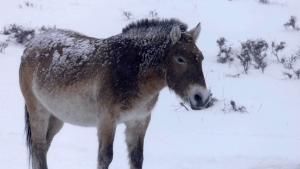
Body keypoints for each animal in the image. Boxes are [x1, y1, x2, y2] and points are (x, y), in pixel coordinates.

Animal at [19, 18, 211, 169]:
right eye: (180, 59)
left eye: (201, 58)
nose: (201, 97)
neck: (133, 72)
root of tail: (31, 46)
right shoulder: (107, 121)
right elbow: (105, 158)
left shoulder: (139, 121)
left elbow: (137, 159)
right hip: (38, 111)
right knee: (39, 148)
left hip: (56, 118)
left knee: (42, 149)